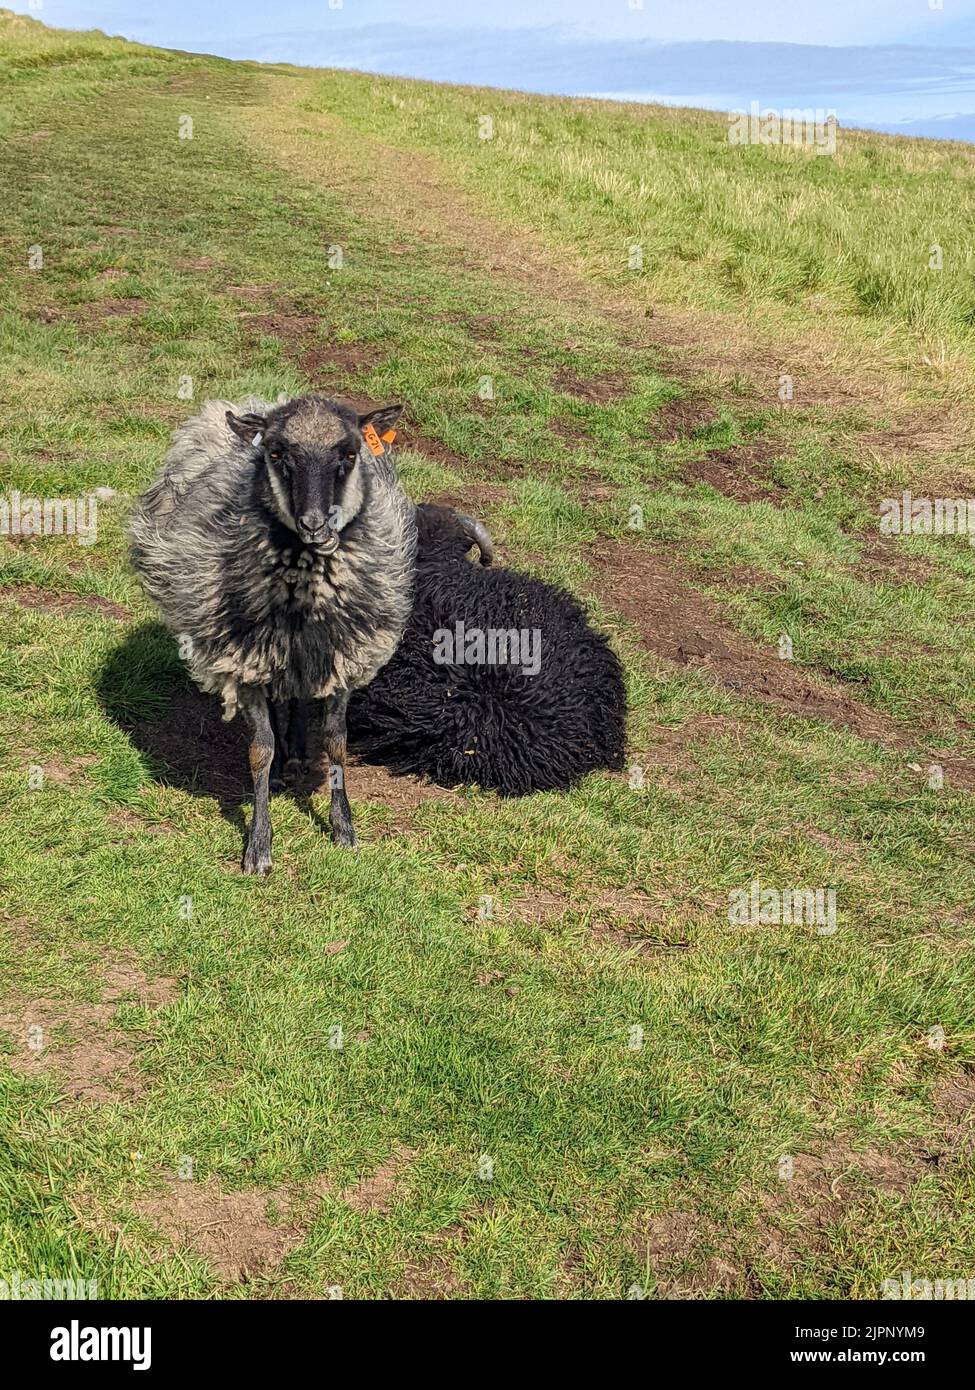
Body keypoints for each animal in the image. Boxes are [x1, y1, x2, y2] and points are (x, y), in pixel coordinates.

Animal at [129, 394, 416, 874]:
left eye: (350, 454)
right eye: (277, 454)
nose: (316, 524)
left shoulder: (344, 657)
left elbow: (337, 742)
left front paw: (344, 830)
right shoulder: (242, 661)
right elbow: (258, 751)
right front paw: (258, 847)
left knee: (297, 694)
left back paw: (297, 752)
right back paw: (285, 760)